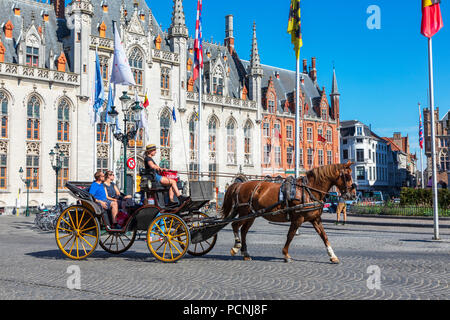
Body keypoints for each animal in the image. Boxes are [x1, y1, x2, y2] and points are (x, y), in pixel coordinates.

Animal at [221, 161, 356, 264]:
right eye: (347, 176)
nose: (353, 195)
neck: (309, 191)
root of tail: (240, 184)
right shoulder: (297, 219)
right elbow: (290, 235)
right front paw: (286, 255)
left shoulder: (315, 219)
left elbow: (324, 236)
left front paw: (333, 256)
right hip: (245, 213)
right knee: (235, 225)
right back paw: (236, 247)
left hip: (252, 215)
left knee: (244, 231)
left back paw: (245, 253)